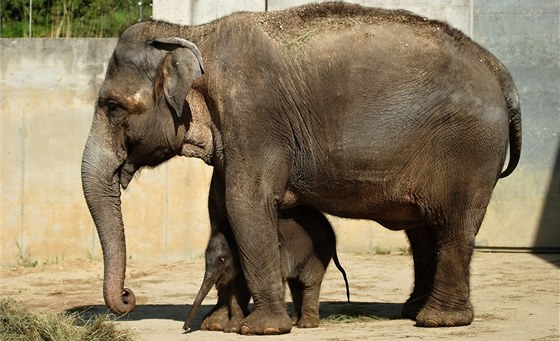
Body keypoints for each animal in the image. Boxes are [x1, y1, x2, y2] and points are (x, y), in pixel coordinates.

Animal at [185, 206, 350, 330]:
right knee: (295, 284)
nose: (185, 328)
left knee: (309, 282)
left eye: (221, 260)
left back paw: (306, 325)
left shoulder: (277, 256)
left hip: (319, 252)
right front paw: (232, 328)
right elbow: (238, 289)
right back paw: (295, 321)